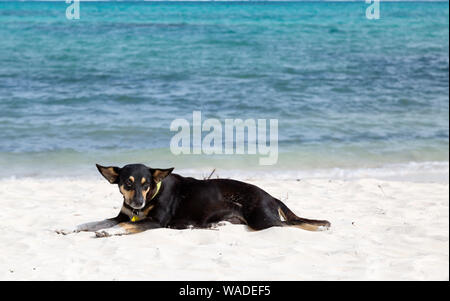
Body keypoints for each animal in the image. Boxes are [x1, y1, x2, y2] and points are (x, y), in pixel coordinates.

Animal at [58, 163, 328, 236]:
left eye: (147, 185)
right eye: (128, 183)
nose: (137, 204)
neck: (153, 196)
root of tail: (271, 196)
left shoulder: (156, 222)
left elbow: (124, 225)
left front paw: (110, 232)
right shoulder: (121, 214)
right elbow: (93, 222)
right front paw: (68, 228)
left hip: (262, 218)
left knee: (289, 225)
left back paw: (318, 228)